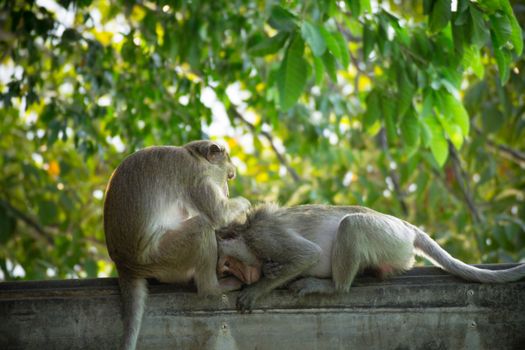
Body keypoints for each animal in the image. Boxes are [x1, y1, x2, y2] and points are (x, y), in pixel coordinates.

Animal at [215, 204, 524, 314]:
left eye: (226, 265)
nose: (229, 277)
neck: (246, 235)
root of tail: (407, 227)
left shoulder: (264, 236)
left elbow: (308, 254)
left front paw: (257, 289)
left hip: (390, 237)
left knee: (352, 225)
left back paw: (332, 287)